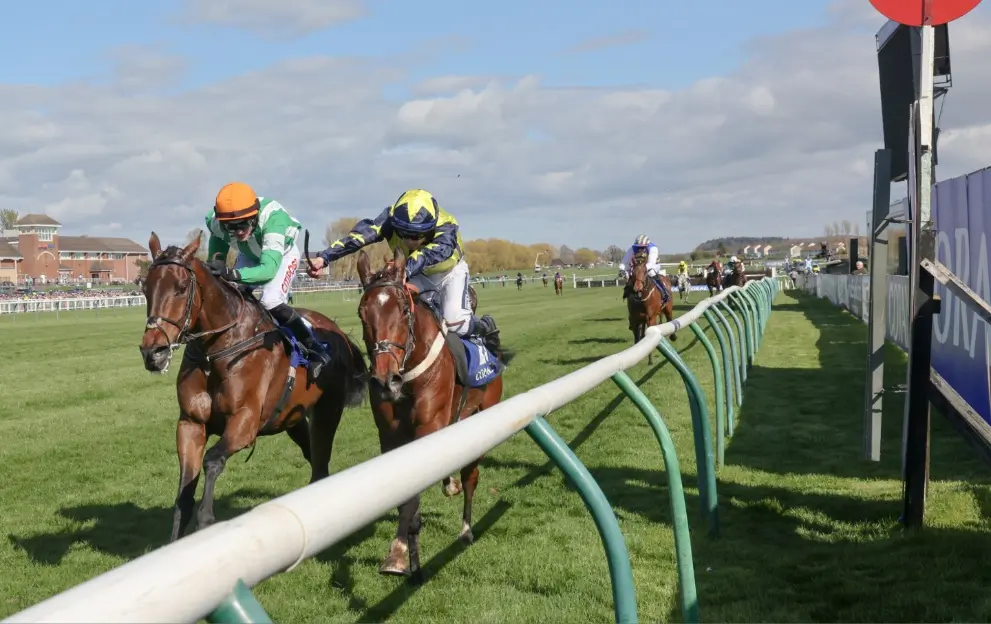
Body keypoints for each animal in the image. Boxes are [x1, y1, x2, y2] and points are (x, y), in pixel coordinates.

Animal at [139, 230, 368, 540]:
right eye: (145, 288)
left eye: (181, 287)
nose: (153, 352)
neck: (217, 351)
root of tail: (339, 332)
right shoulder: (190, 423)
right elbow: (184, 494)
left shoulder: (244, 422)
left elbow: (212, 460)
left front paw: (207, 519)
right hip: (293, 419)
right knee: (312, 455)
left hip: (327, 412)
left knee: (320, 463)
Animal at [354, 245, 512, 584]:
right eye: (362, 313)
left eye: (403, 309)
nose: (385, 381)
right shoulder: (390, 435)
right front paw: (404, 553)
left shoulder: (430, 425)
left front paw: (400, 552)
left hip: (484, 417)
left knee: (470, 477)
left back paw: (465, 528)